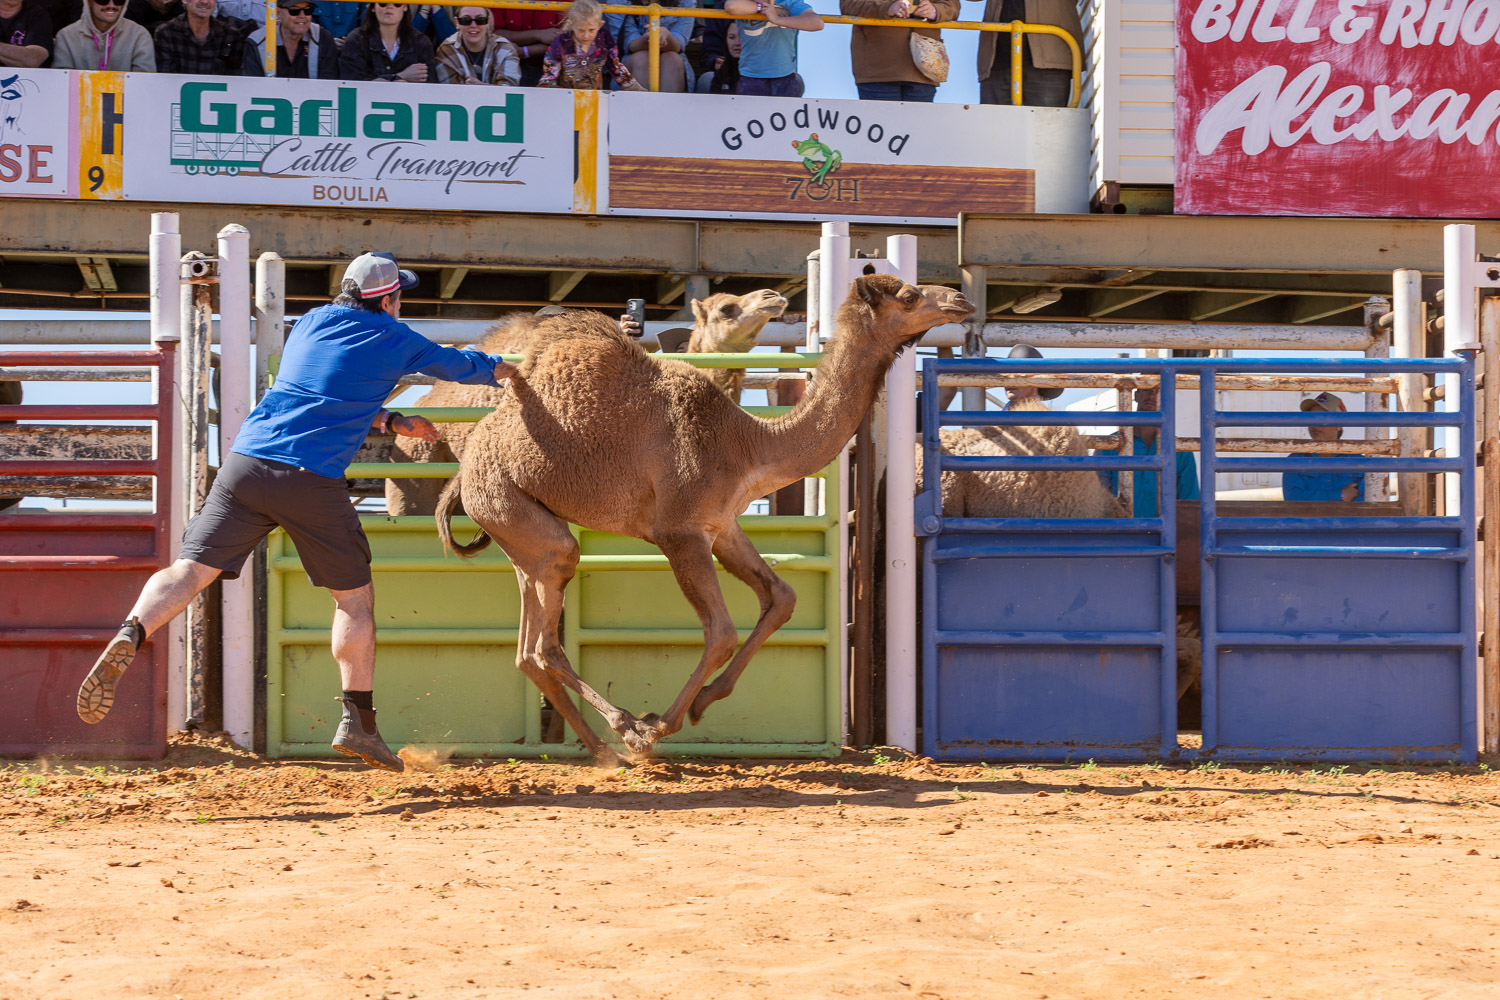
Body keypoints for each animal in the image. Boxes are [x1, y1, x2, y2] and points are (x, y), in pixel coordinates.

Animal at [436, 274, 973, 764]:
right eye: (909, 296)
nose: (959, 299)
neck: (750, 445)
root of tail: (463, 473)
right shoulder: (680, 532)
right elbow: (721, 631)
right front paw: (661, 724)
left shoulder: (722, 526)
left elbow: (782, 597)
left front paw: (705, 701)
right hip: (517, 512)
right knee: (549, 635)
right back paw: (627, 730)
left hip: (517, 534)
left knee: (528, 649)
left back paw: (603, 750)